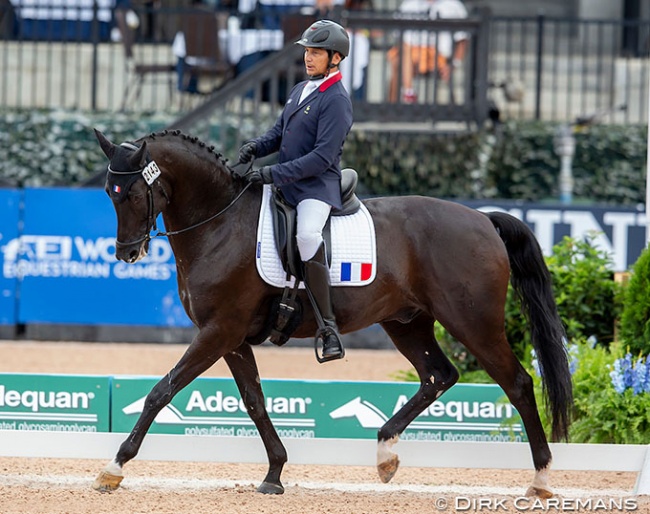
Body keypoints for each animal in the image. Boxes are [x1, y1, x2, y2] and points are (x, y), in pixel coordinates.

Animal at [92, 128, 572, 496]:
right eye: (108, 195)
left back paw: (541, 479)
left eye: (132, 192)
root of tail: (482, 218)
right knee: (439, 375)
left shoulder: (218, 331)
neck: (219, 223)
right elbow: (254, 401)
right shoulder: (230, 337)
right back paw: (385, 454)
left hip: (473, 323)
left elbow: (161, 391)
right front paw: (275, 473)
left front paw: (114, 468)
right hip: (407, 323)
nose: (127, 253)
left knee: (518, 383)